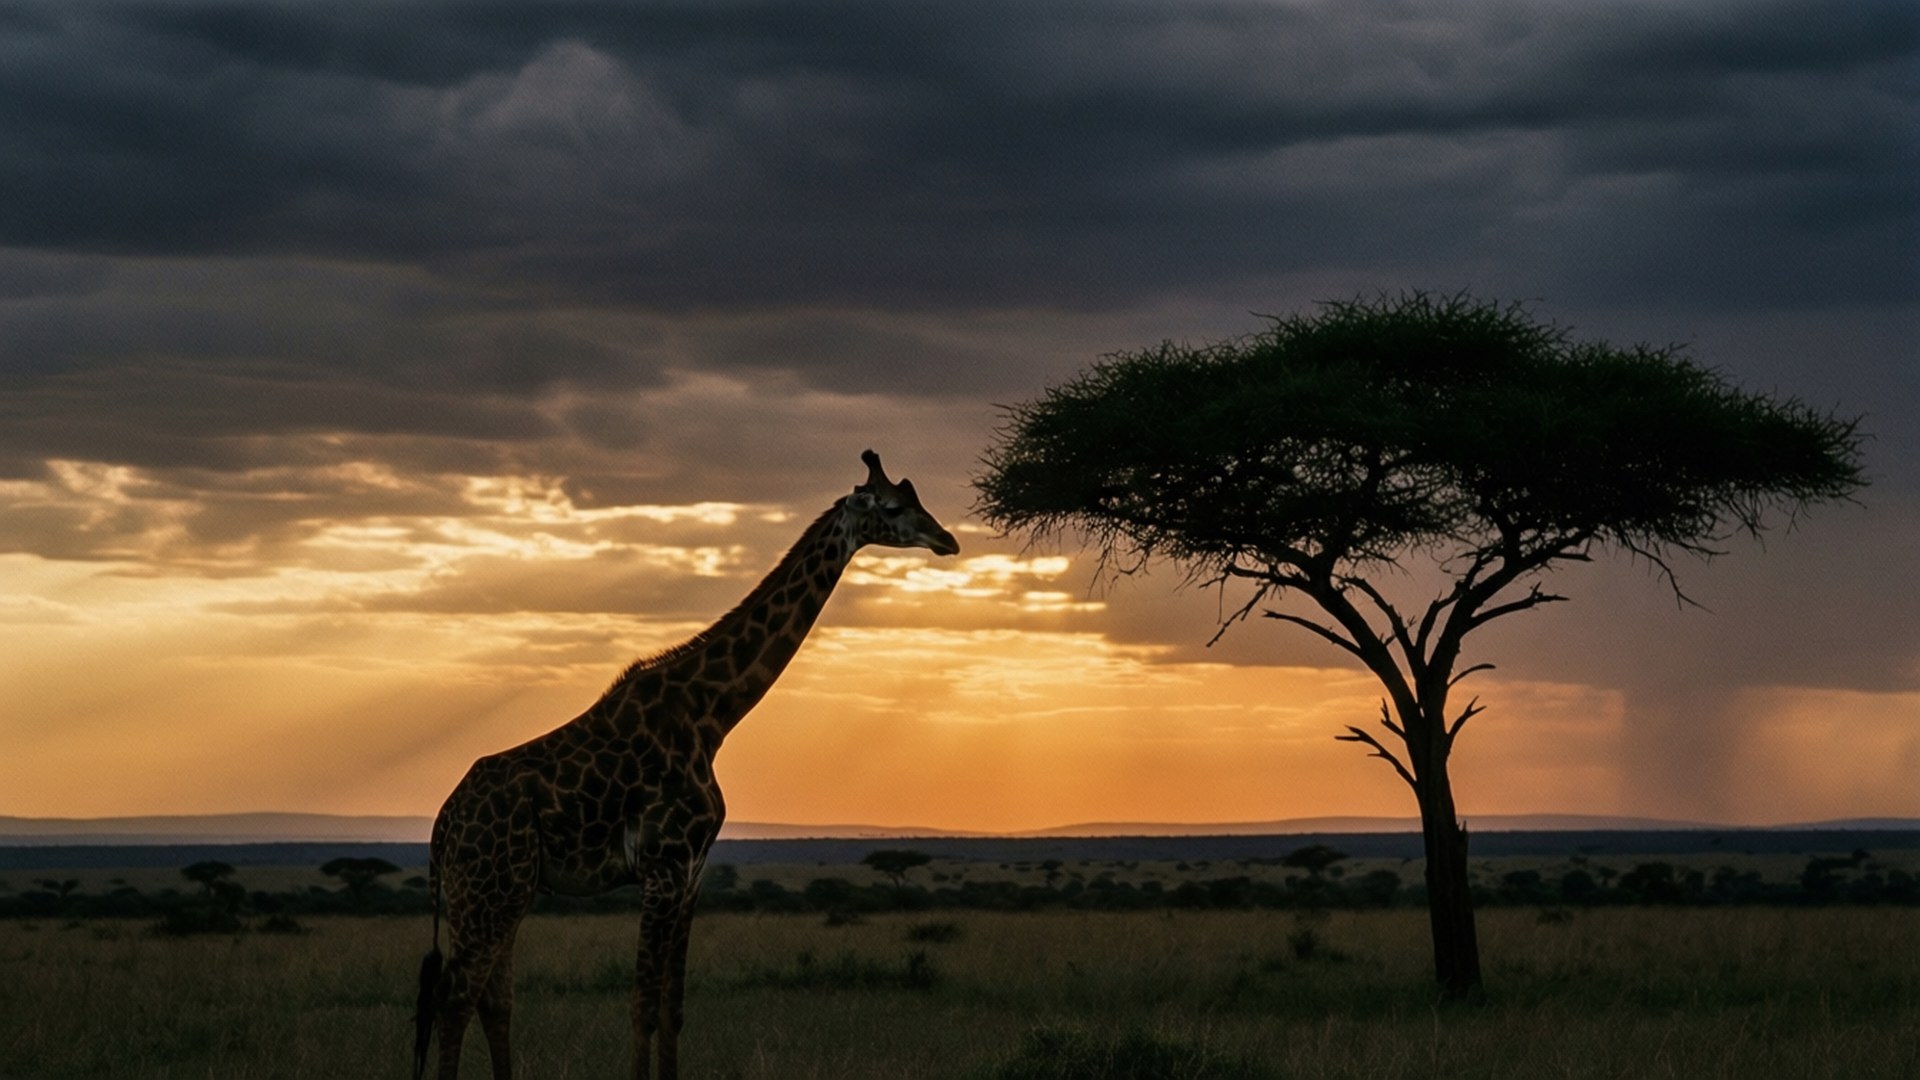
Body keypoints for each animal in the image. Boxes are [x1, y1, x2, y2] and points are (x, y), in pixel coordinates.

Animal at [413, 450, 960, 1080]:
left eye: (919, 500)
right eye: (893, 507)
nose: (948, 540)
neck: (711, 715)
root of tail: (443, 827)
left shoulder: (693, 872)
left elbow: (671, 1008)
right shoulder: (663, 867)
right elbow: (641, 1004)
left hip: (503, 893)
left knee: (493, 999)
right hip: (487, 892)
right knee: (457, 999)